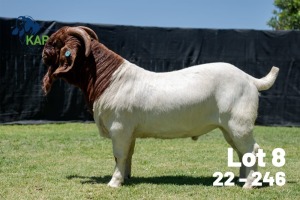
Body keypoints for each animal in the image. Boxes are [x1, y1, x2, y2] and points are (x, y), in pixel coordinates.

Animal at [42, 25, 278, 188]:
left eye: (55, 43)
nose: (43, 52)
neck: (109, 79)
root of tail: (250, 79)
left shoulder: (119, 127)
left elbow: (119, 154)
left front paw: (114, 182)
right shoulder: (130, 131)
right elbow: (128, 154)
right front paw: (126, 177)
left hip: (239, 123)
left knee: (252, 149)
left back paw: (249, 184)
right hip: (229, 127)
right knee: (241, 151)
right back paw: (242, 179)